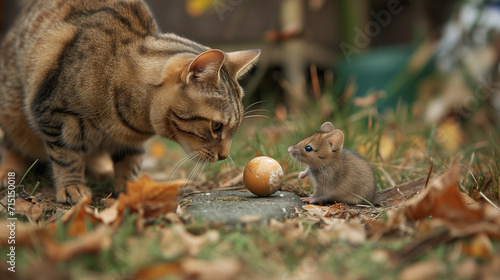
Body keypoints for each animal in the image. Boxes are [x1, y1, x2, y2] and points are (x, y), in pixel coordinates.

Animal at [0, 0, 258, 203]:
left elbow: (129, 163)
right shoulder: (56, 116)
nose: (224, 156)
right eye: (216, 127)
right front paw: (72, 186)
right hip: (13, 111)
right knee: (12, 146)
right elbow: (67, 156)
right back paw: (8, 172)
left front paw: (131, 189)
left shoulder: (130, 142)